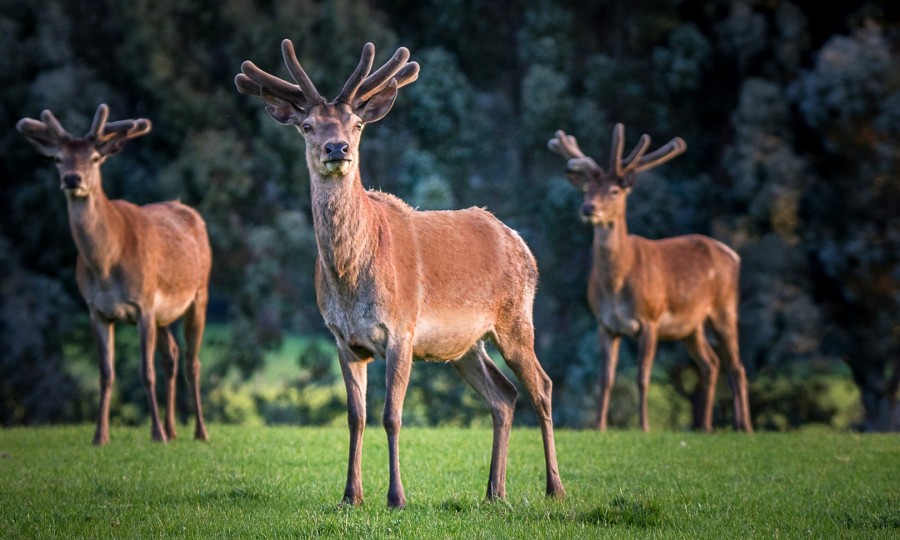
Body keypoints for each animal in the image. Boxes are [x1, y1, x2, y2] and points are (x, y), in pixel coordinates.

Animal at [16, 104, 211, 442]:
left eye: (95, 158)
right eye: (57, 158)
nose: (72, 178)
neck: (106, 267)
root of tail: (191, 213)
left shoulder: (144, 304)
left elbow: (145, 373)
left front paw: (156, 435)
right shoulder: (96, 310)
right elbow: (106, 374)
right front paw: (100, 436)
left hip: (200, 292)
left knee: (192, 361)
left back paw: (198, 432)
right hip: (163, 316)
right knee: (171, 355)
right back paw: (173, 430)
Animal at [236, 41, 568, 506]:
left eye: (356, 124)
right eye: (306, 125)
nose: (337, 149)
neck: (351, 279)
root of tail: (521, 242)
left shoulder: (402, 329)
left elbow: (392, 415)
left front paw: (396, 497)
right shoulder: (343, 339)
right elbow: (355, 417)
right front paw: (351, 495)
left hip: (516, 316)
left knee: (542, 387)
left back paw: (554, 488)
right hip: (465, 345)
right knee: (504, 395)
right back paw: (494, 492)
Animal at [548, 124, 752, 432]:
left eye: (614, 190)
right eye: (585, 189)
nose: (588, 208)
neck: (616, 285)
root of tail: (733, 254)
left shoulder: (650, 319)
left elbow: (642, 377)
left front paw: (644, 426)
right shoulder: (605, 324)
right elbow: (605, 378)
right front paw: (599, 426)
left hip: (724, 308)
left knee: (737, 366)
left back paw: (744, 426)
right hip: (691, 327)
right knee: (711, 363)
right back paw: (705, 426)